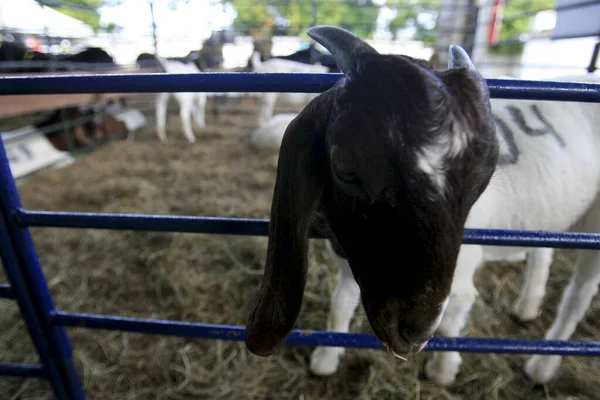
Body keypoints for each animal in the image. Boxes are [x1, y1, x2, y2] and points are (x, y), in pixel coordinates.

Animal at [241, 25, 600, 388]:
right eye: (345, 168)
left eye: (481, 181)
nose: (413, 333)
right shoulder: (356, 267)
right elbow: (339, 305)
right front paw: (326, 359)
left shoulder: (455, 279)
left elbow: (455, 314)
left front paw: (442, 371)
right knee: (544, 252)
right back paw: (527, 306)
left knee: (578, 294)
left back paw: (543, 365)